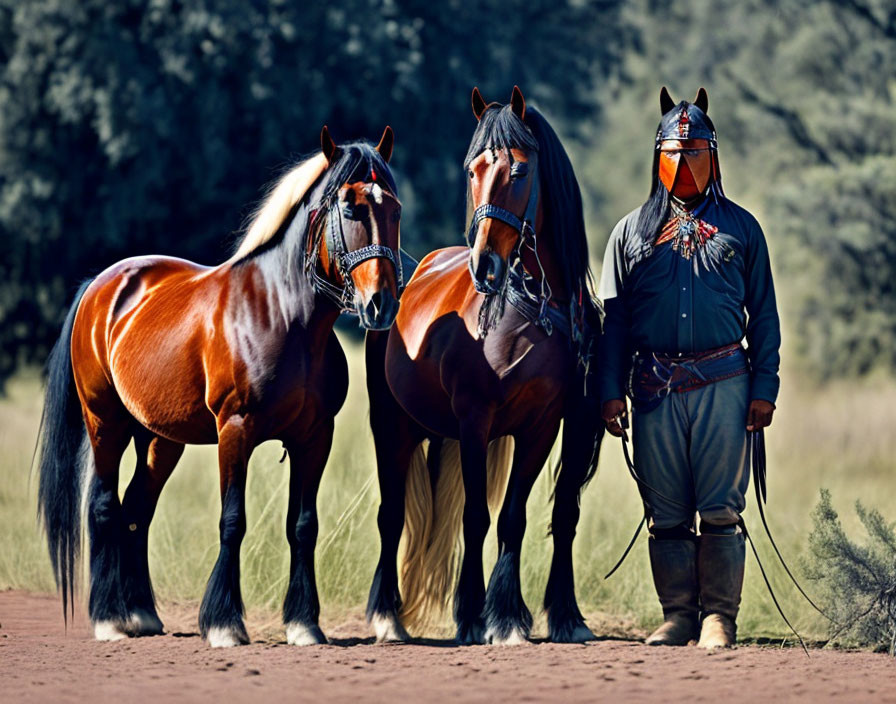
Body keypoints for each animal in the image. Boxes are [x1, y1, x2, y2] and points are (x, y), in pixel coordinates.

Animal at [38, 124, 400, 648]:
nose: (381, 304)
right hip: (105, 423)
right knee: (105, 505)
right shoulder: (236, 431)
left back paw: (142, 613)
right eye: (351, 208)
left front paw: (304, 623)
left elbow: (303, 525)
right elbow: (233, 521)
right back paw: (109, 620)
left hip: (159, 439)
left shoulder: (315, 437)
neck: (285, 317)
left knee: (137, 509)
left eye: (394, 209)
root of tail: (100, 285)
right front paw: (225, 623)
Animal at [368, 86, 604, 644]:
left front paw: (513, 616)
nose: (484, 265)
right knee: (391, 517)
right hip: (391, 425)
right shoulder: (475, 421)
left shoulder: (542, 427)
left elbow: (515, 517)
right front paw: (476, 616)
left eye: (519, 170)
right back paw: (388, 616)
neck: (533, 309)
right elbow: (475, 517)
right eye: (472, 169)